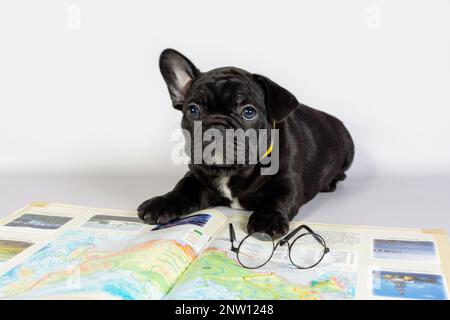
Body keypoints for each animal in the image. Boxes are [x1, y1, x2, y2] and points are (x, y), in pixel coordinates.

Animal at [135, 48, 354, 238]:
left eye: (248, 112)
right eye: (193, 110)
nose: (216, 127)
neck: (230, 171)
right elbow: (182, 189)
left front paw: (267, 219)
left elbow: (277, 199)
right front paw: (161, 202)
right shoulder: (195, 177)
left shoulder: (287, 182)